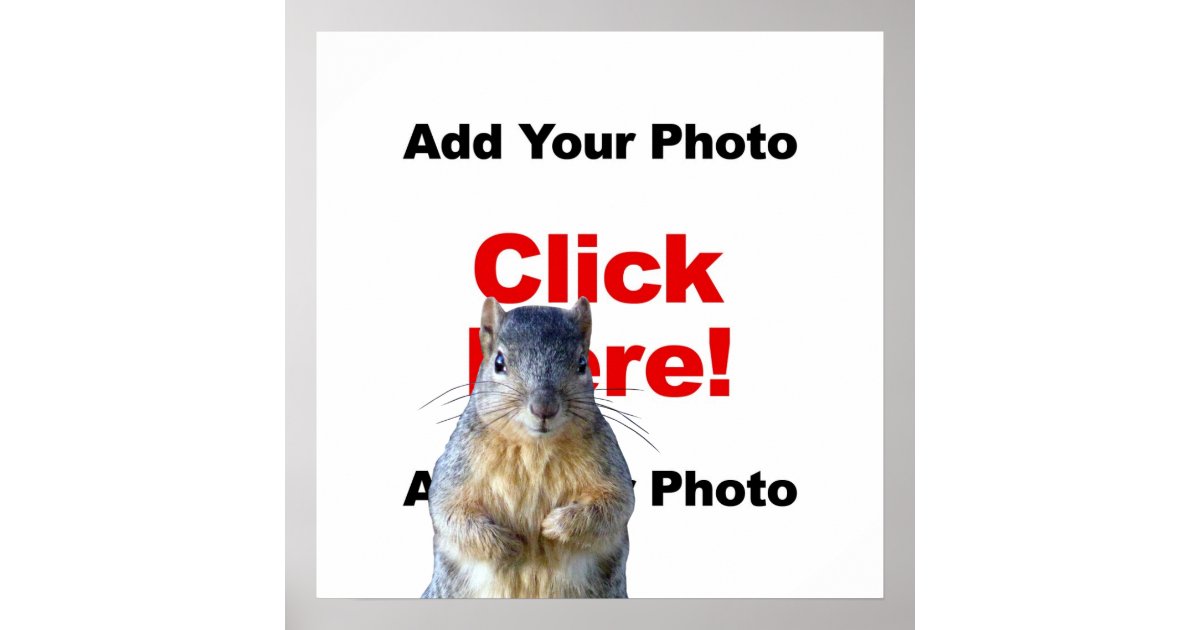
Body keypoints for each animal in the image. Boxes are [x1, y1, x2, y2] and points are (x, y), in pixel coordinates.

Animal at [422, 297, 635, 598]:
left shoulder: (609, 465)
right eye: (499, 362)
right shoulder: (457, 469)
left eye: (582, 363)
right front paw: (507, 543)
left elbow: (616, 505)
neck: (535, 447)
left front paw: (554, 525)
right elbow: (449, 512)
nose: (544, 407)